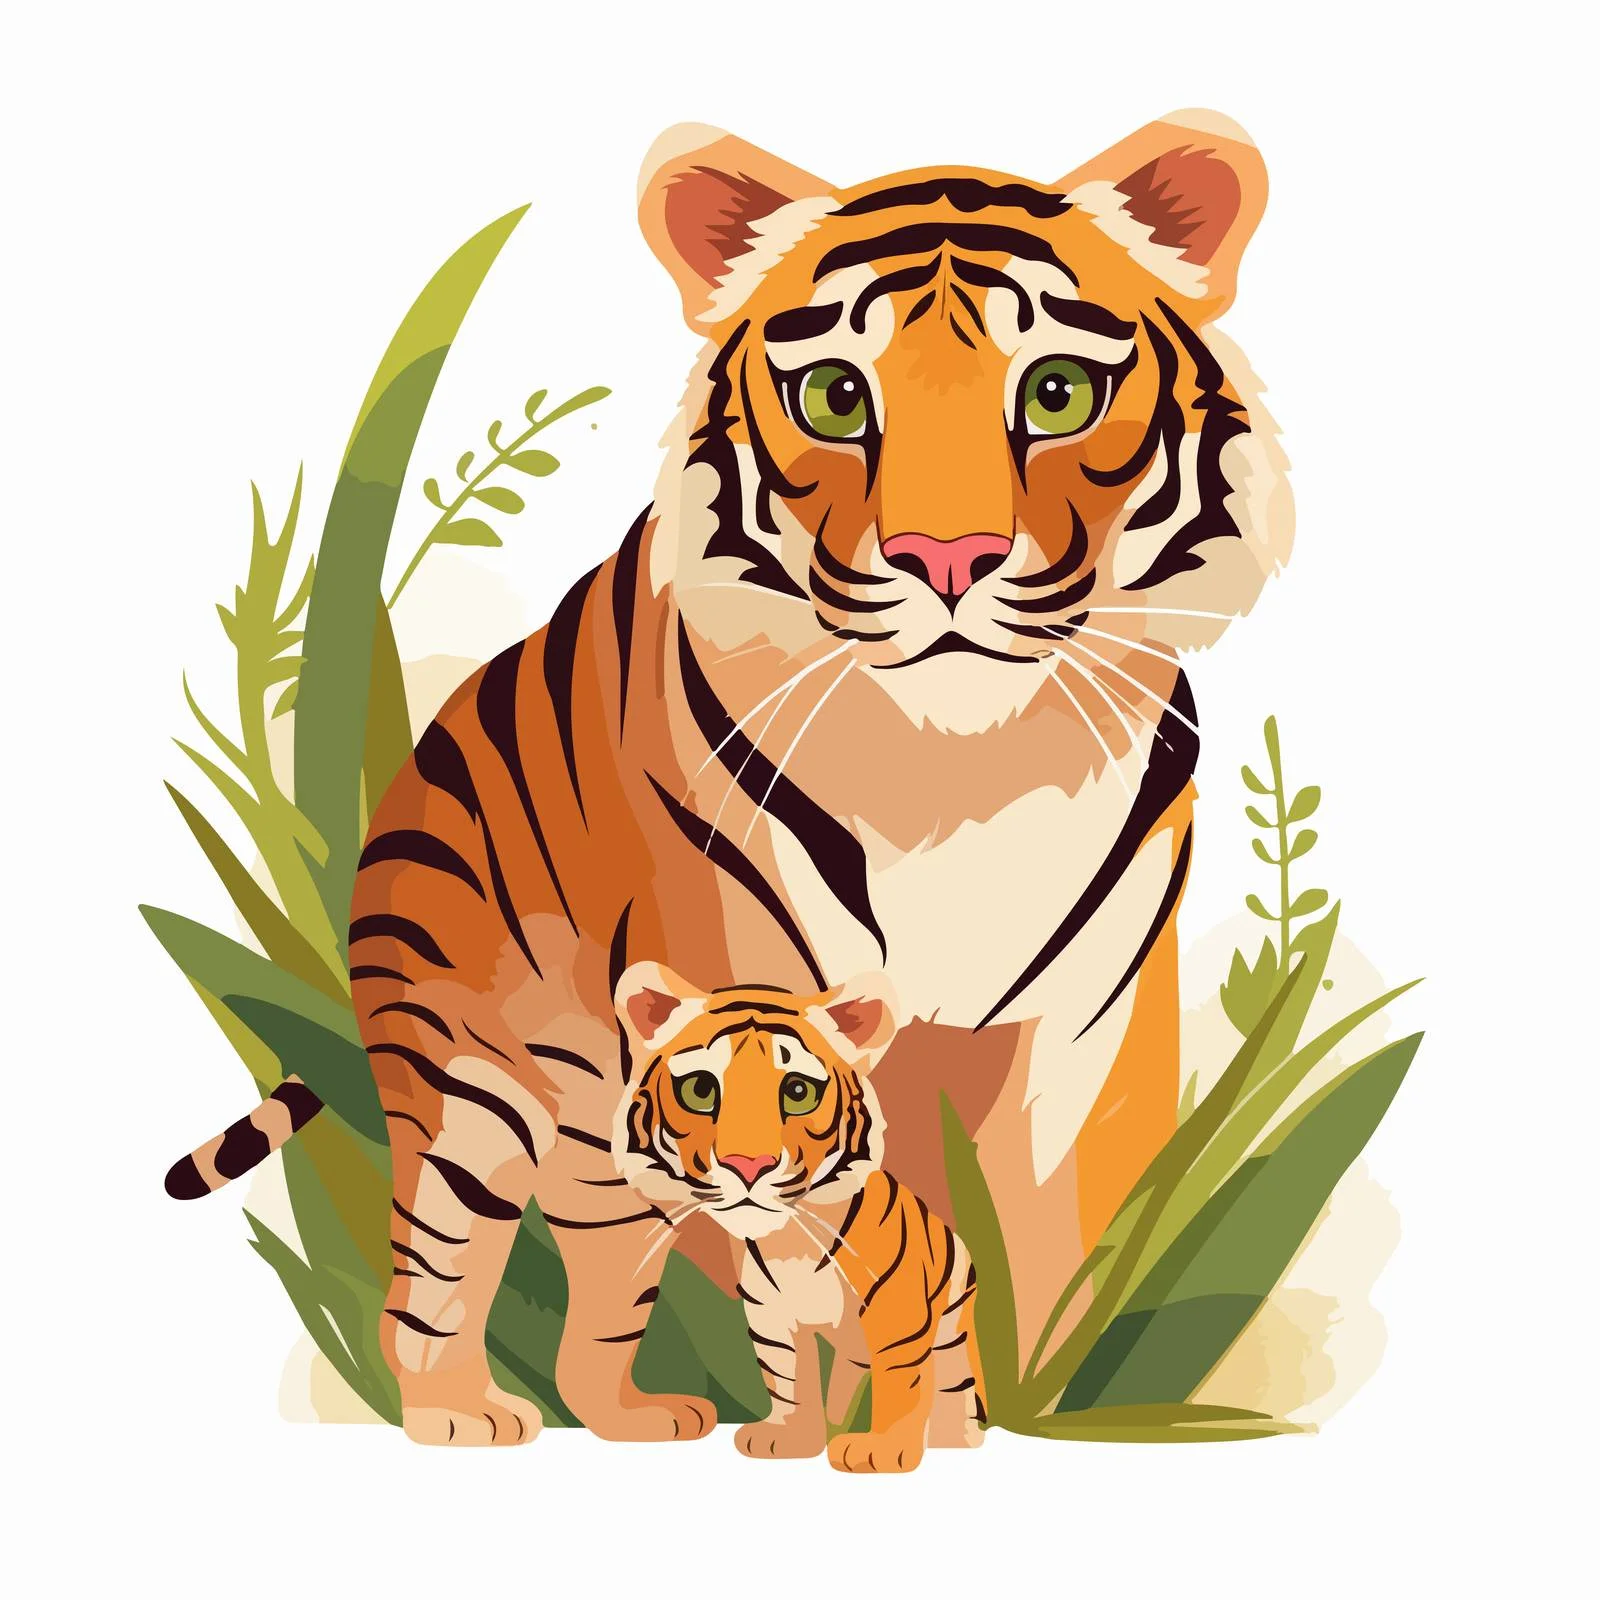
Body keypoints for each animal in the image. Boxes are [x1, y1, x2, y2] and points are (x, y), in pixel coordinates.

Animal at [611, 964, 982, 1472]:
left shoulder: (898, 1310)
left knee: (955, 1386)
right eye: (700, 1090)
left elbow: (901, 1381)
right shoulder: (771, 1317)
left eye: (798, 1093)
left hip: (951, 1327)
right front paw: (788, 1440)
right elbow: (789, 1380)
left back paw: (955, 1442)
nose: (749, 1164)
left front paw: (882, 1449)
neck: (789, 1244)